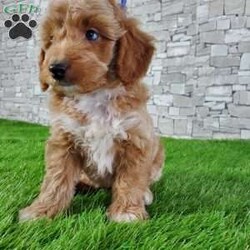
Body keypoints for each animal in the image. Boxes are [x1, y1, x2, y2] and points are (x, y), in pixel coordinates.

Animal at [19, 0, 164, 223]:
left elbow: (131, 179)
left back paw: (145, 194)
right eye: (51, 39)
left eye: (92, 34)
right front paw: (42, 210)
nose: (55, 68)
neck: (94, 94)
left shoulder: (136, 140)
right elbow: (56, 180)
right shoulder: (63, 140)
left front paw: (127, 212)